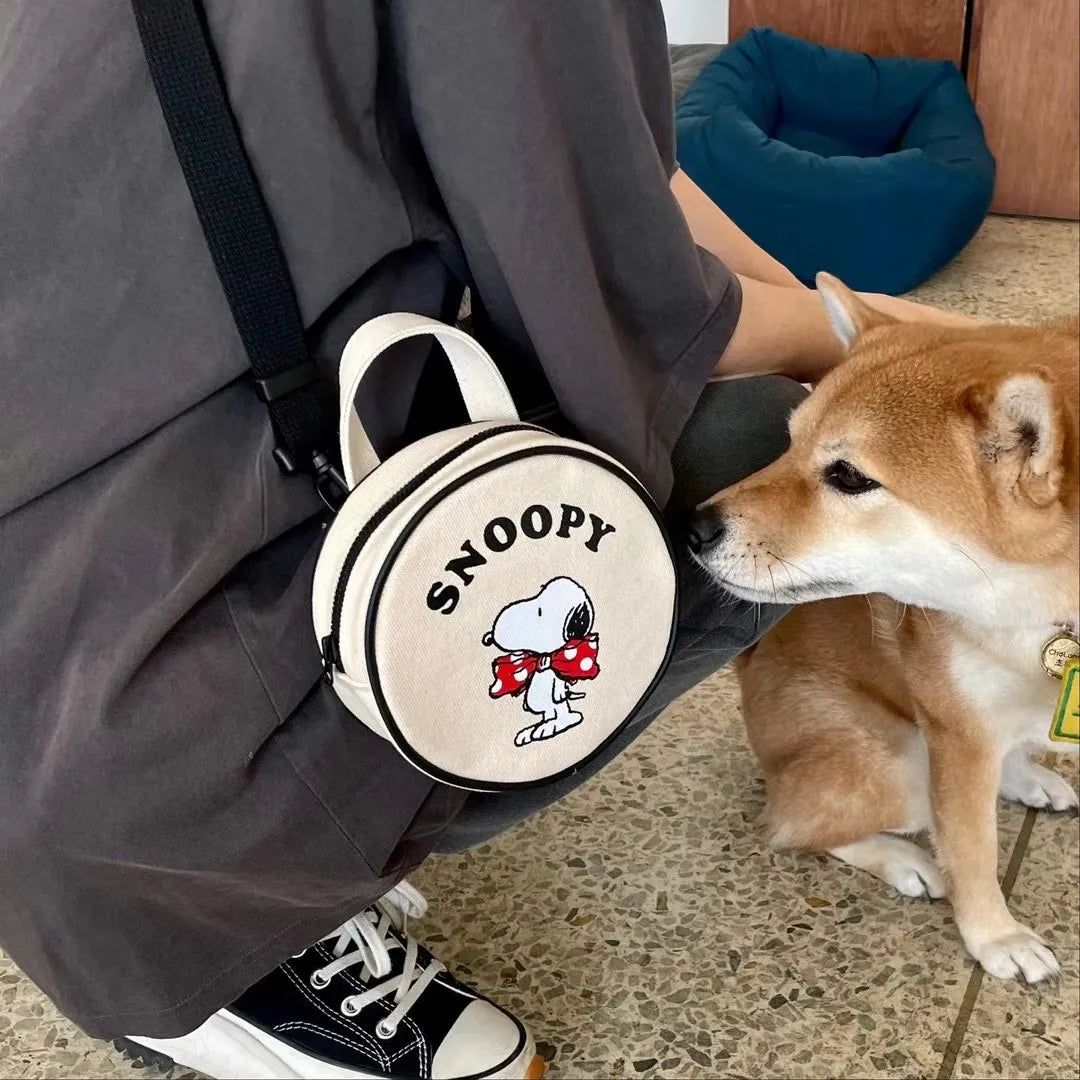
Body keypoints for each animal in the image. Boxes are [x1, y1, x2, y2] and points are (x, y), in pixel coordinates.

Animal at [686, 274, 1075, 984]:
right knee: (793, 823)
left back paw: (1028, 777)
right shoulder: (957, 730)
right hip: (897, 760)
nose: (694, 529)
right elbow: (973, 853)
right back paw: (906, 860)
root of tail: (749, 664)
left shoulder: (970, 727)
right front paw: (995, 937)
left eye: (846, 475)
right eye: (790, 441)